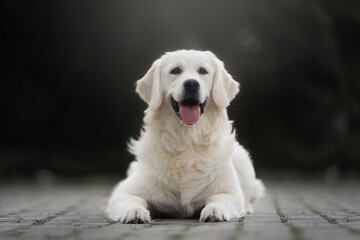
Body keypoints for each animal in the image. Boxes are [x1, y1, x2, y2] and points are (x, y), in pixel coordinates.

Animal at [107, 49, 264, 223]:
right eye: (175, 70)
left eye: (203, 71)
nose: (191, 84)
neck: (186, 140)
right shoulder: (123, 192)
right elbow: (133, 199)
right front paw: (135, 212)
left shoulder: (230, 192)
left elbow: (217, 198)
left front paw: (214, 210)